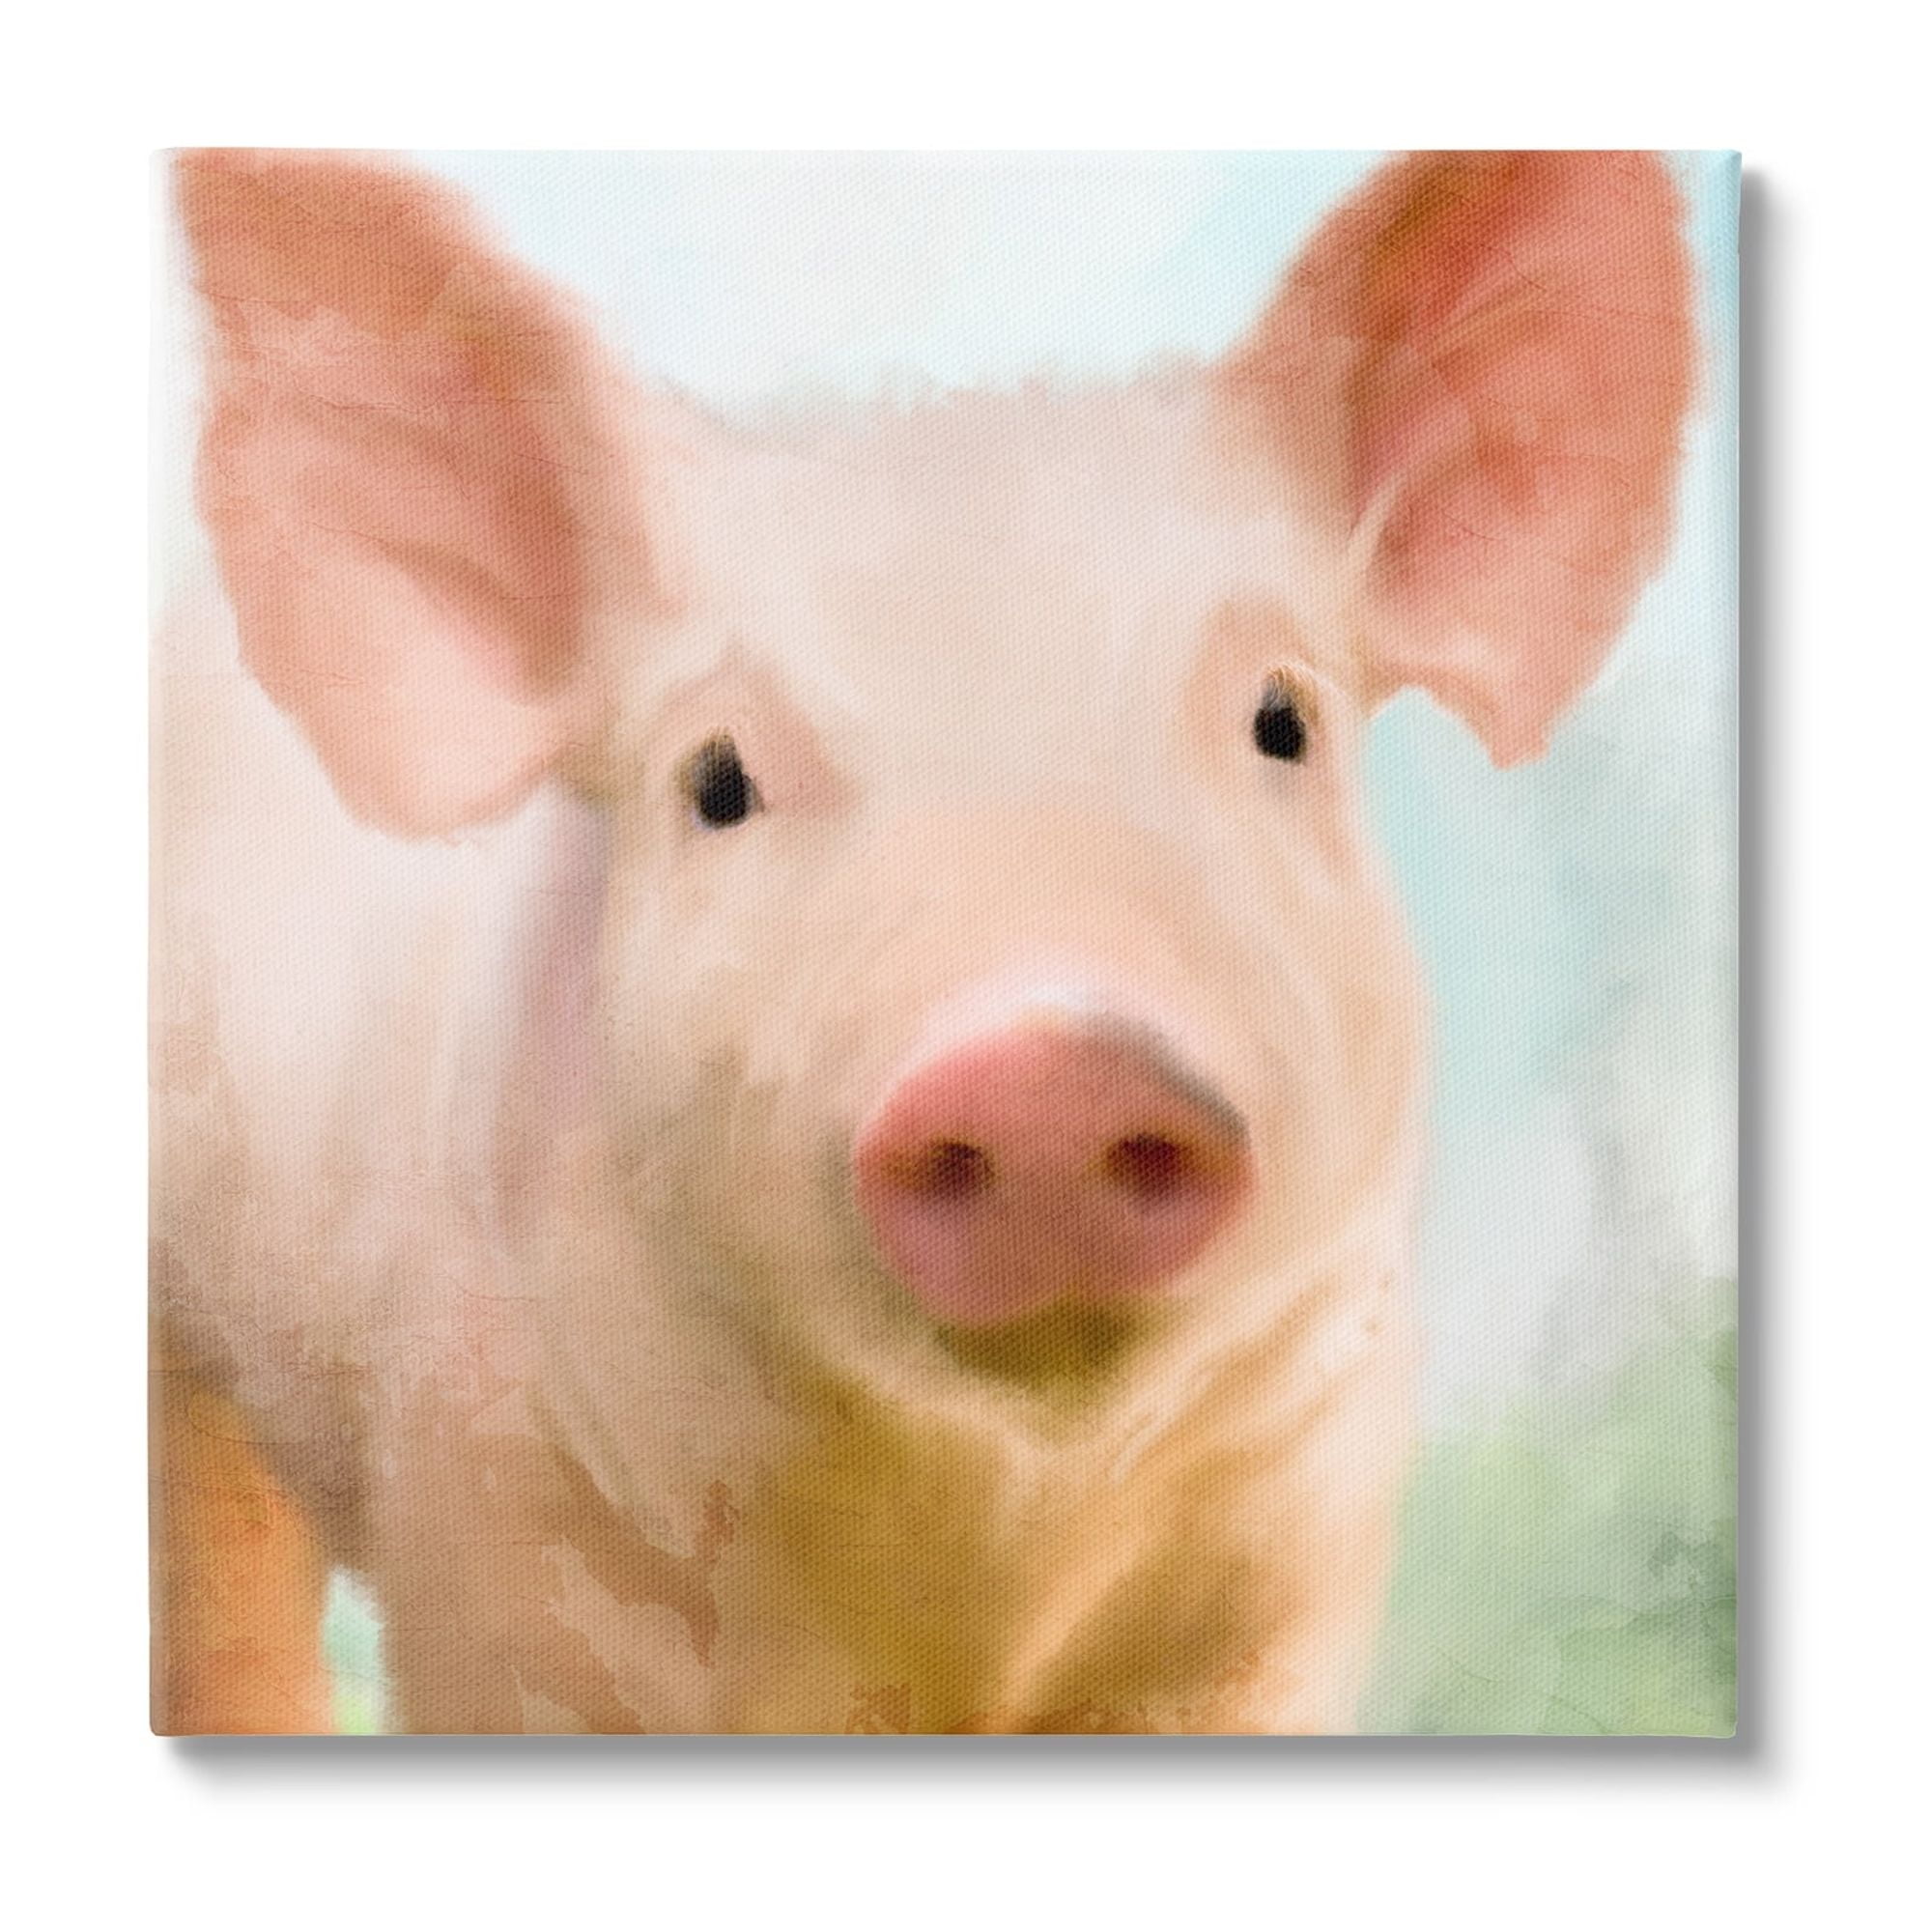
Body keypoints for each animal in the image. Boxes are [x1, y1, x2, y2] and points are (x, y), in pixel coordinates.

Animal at [151, 149, 1696, 1734]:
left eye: (1284, 721)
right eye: (717, 781)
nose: (1050, 1064)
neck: (983, 1567)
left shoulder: (1283, 1571)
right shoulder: (488, 1531)